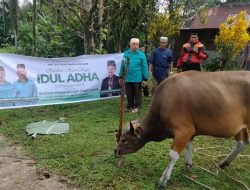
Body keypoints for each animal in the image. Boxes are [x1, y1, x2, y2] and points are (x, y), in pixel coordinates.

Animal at [115, 71, 250, 189]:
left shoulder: (183, 131)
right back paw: (223, 163)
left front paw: (163, 180)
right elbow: (189, 148)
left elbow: (172, 156)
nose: (116, 150)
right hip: (240, 127)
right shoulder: (190, 133)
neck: (164, 101)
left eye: (124, 139)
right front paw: (188, 166)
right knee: (241, 143)